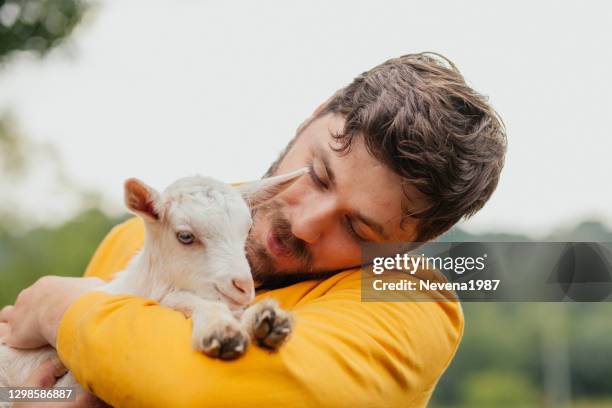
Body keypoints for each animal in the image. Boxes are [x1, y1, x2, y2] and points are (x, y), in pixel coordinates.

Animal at [0, 169, 306, 398]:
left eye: (247, 230)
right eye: (185, 236)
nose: (243, 287)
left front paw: (266, 320)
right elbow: (180, 299)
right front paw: (221, 331)